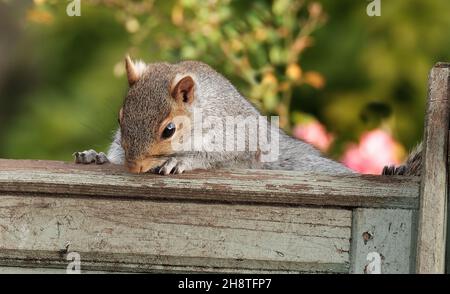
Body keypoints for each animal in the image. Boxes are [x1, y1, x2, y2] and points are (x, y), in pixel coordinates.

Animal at [73, 57, 422, 177]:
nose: (133, 167)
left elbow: (214, 158)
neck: (203, 111)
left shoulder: (236, 140)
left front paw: (179, 161)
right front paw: (96, 156)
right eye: (120, 118)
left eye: (169, 130)